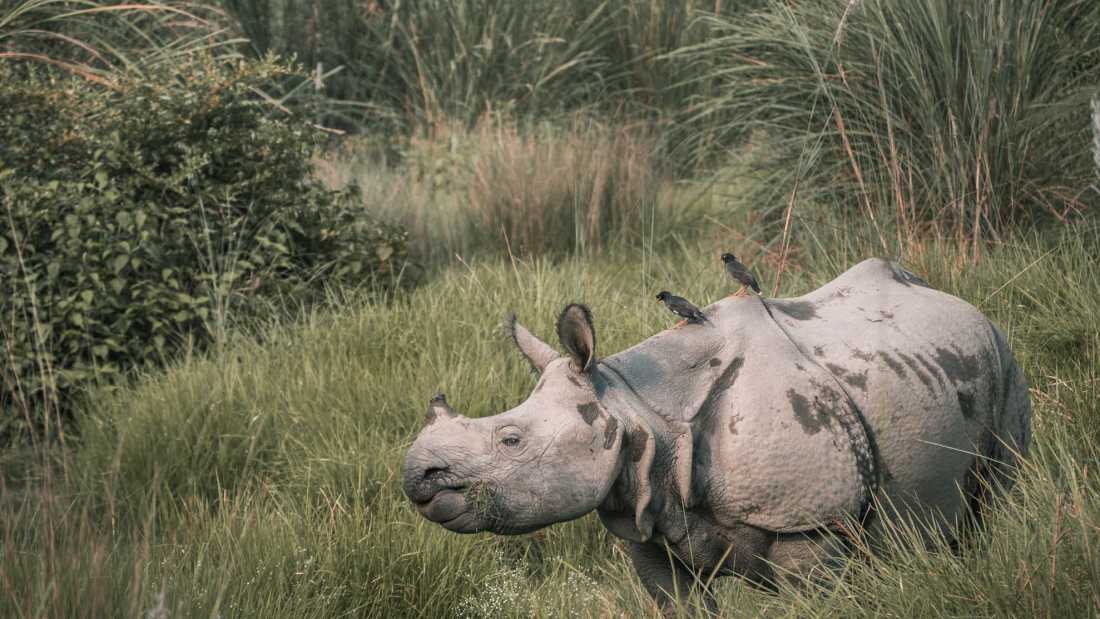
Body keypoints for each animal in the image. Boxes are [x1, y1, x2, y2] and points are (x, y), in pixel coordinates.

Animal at [402, 258, 1031, 613]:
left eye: (511, 440)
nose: (417, 476)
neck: (637, 408)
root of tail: (958, 301)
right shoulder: (645, 519)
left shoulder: (809, 523)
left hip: (1002, 354)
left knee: (994, 498)